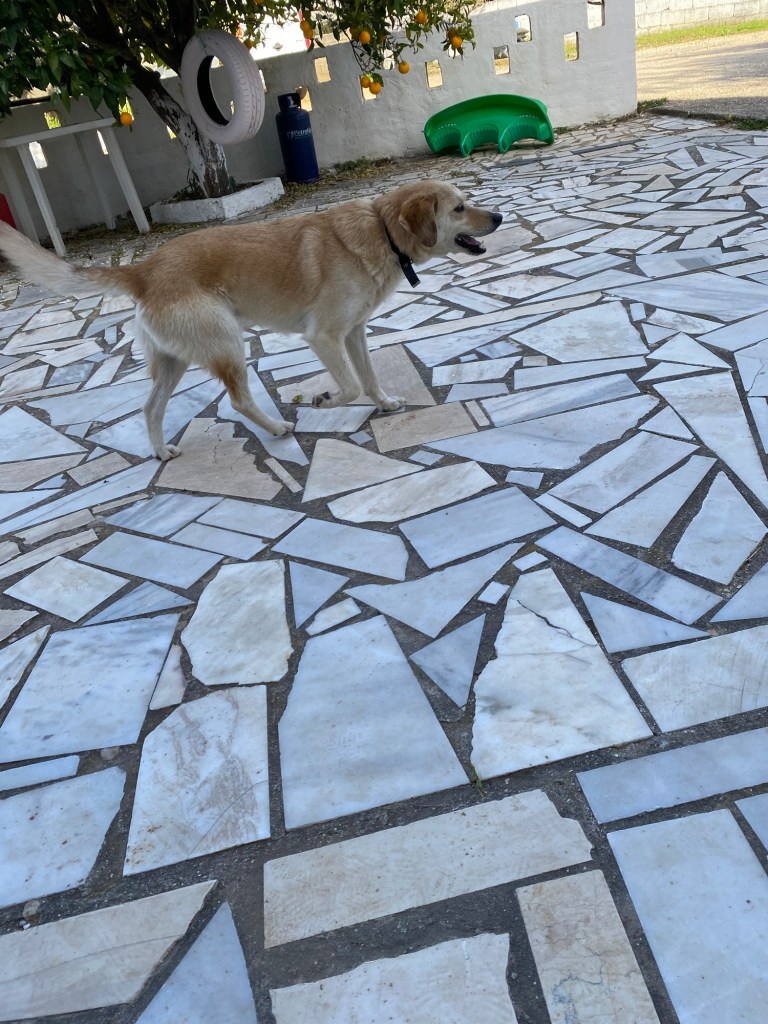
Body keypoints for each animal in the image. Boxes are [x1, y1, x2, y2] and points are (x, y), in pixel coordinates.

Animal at [0, 181, 502, 460]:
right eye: (459, 207)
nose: (498, 216)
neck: (381, 229)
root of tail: (144, 270)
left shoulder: (354, 332)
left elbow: (369, 378)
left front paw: (385, 404)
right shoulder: (323, 336)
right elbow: (350, 386)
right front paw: (324, 400)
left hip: (174, 362)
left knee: (151, 407)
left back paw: (160, 450)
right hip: (225, 343)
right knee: (238, 400)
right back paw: (278, 428)